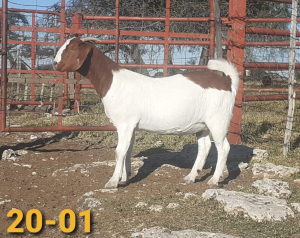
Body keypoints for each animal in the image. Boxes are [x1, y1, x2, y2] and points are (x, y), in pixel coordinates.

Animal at [54, 36, 240, 189]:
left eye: (72, 48)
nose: (55, 63)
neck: (113, 81)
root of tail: (227, 82)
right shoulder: (131, 126)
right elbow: (128, 150)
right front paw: (125, 178)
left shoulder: (124, 124)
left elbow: (119, 152)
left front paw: (113, 182)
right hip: (202, 124)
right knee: (205, 147)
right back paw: (191, 177)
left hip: (218, 120)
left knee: (224, 148)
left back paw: (214, 180)